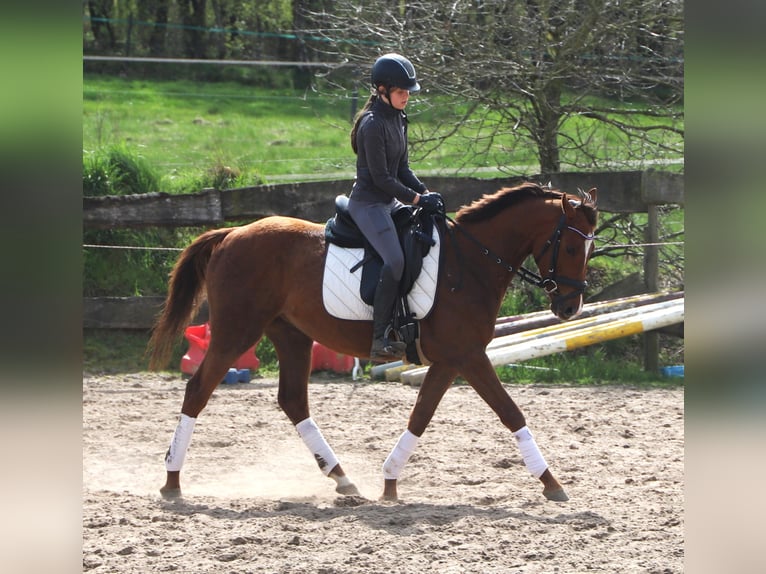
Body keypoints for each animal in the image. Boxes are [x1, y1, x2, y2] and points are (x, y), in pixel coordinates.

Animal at [148, 182, 598, 502]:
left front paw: (389, 483)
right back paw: (171, 481)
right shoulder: (469, 356)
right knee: (198, 390)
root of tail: (231, 233)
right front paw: (552, 483)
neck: (471, 262)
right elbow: (510, 413)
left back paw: (342, 478)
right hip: (236, 332)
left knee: (293, 401)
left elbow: (421, 416)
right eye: (572, 246)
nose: (569, 307)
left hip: (291, 336)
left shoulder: (449, 360)